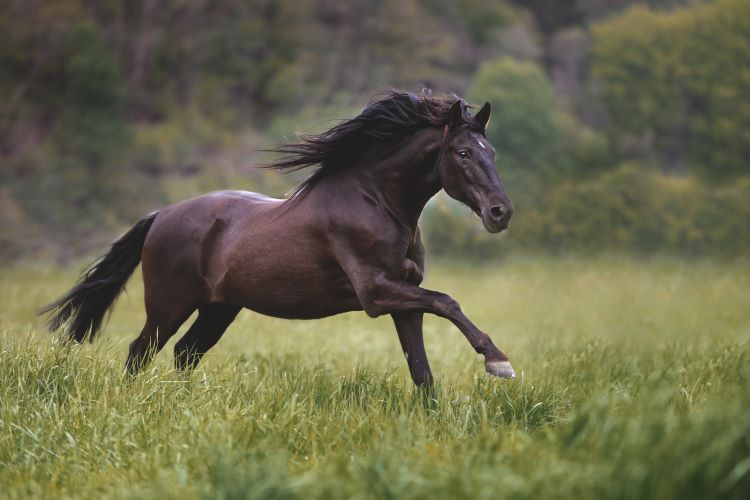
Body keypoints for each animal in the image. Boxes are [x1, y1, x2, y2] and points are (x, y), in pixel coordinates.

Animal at [41, 90, 515, 387]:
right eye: (463, 153)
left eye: (492, 152)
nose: (501, 212)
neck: (378, 200)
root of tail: (160, 216)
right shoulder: (377, 294)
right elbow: (448, 302)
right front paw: (498, 361)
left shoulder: (405, 300)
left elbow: (422, 372)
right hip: (168, 304)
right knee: (141, 352)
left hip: (219, 308)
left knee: (185, 353)